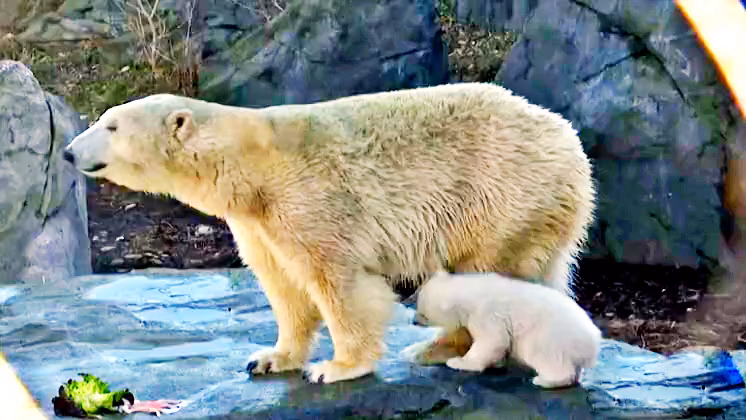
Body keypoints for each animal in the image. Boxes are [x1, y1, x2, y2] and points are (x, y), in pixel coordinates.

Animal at [411, 270, 602, 388]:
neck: (471, 289)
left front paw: (458, 362)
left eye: (423, 314)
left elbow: (492, 340)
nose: (414, 321)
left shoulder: (487, 313)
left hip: (551, 337)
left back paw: (544, 380)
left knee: (545, 356)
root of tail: (592, 344)